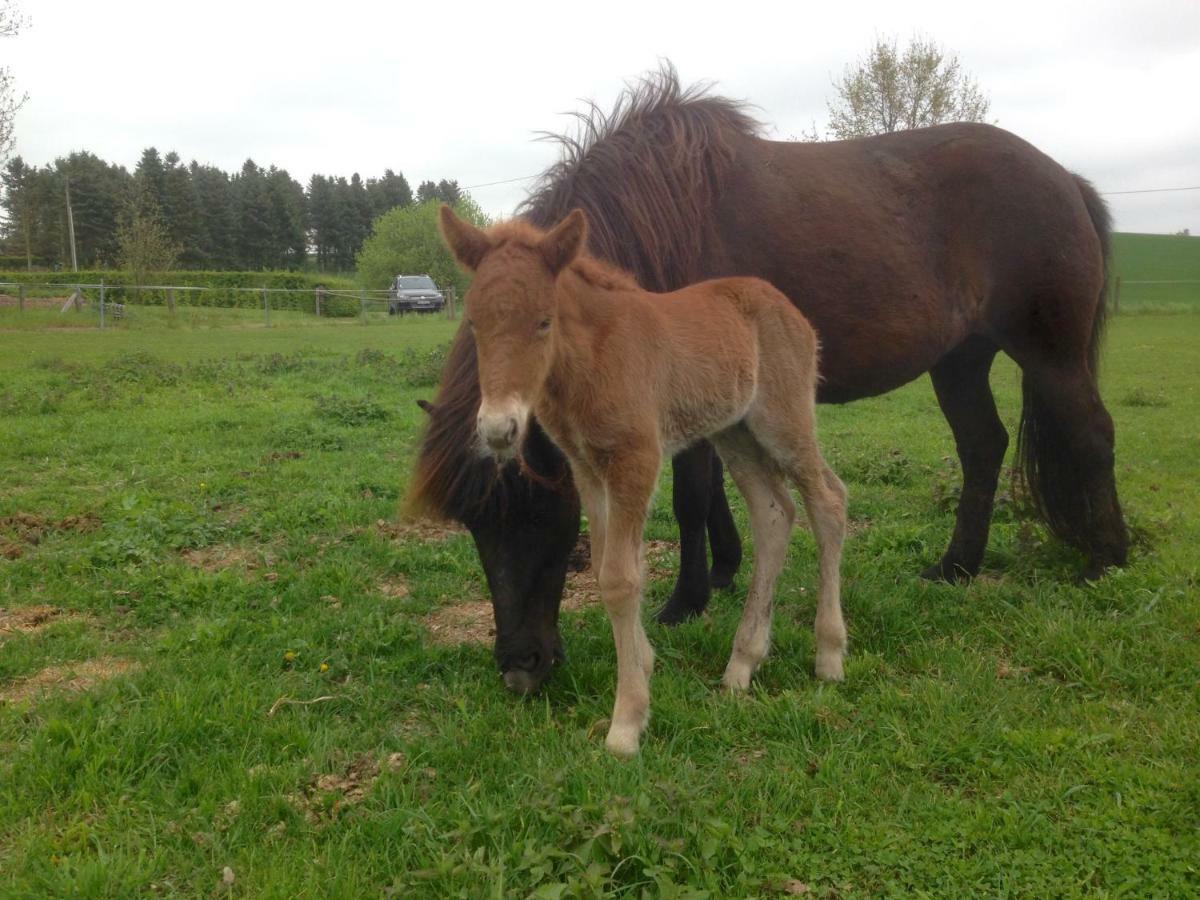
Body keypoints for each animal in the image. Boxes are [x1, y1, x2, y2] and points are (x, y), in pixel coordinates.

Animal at [408, 66, 1128, 696]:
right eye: (473, 523)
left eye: (535, 507)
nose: (520, 668)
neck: (660, 222)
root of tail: (1066, 178)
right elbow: (715, 497)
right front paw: (724, 573)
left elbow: (692, 497)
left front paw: (686, 600)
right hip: (960, 361)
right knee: (983, 446)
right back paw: (955, 568)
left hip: (1051, 354)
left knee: (1091, 433)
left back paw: (1107, 561)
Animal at [439, 207, 844, 758]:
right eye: (475, 324)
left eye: (544, 321)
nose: (499, 430)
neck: (592, 358)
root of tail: (791, 311)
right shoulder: (588, 468)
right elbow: (608, 568)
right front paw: (644, 671)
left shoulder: (637, 459)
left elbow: (619, 578)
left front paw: (627, 721)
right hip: (735, 433)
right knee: (775, 513)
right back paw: (742, 664)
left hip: (784, 421)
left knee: (828, 502)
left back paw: (829, 655)